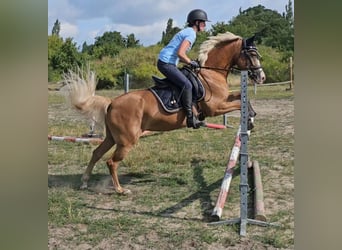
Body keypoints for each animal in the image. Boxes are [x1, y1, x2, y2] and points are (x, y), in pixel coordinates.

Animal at [62, 31, 266, 195]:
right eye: (252, 54)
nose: (262, 77)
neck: (211, 75)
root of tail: (112, 103)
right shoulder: (215, 107)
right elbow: (239, 102)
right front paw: (250, 120)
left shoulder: (223, 100)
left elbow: (241, 97)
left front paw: (251, 117)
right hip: (127, 140)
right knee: (111, 162)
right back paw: (120, 190)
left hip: (113, 137)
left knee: (97, 153)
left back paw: (85, 182)